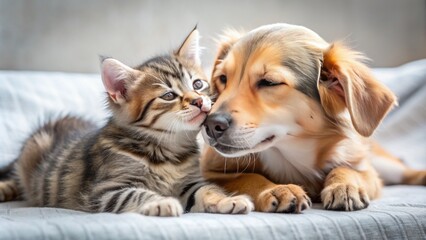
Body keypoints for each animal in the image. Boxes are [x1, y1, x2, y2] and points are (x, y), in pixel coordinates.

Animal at [0, 27, 253, 216]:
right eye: (168, 95)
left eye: (198, 85)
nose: (199, 102)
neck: (168, 150)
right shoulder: (104, 190)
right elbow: (136, 194)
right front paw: (161, 202)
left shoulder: (190, 183)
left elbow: (207, 189)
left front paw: (227, 200)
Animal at [201, 23, 426, 213]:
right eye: (223, 78)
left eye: (269, 82)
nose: (211, 125)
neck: (291, 156)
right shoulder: (209, 170)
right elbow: (248, 176)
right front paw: (277, 189)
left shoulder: (368, 172)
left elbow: (347, 169)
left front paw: (345, 186)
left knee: (405, 171)